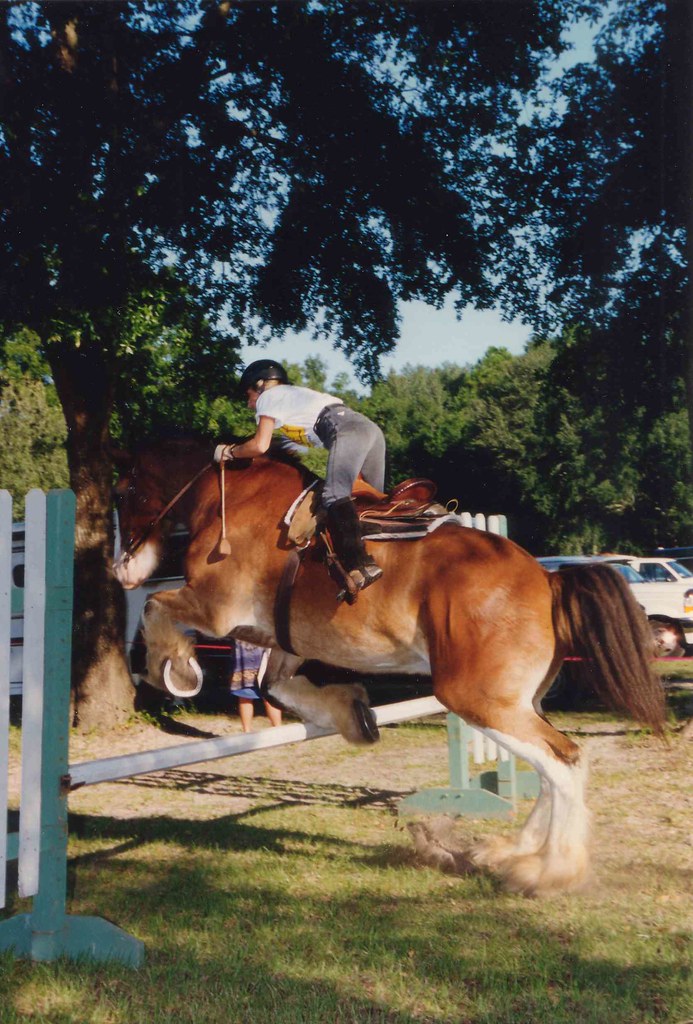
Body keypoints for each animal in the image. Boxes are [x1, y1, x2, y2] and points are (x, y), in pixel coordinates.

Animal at [112, 434, 665, 896]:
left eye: (122, 492)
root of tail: (548, 579)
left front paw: (175, 670)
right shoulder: (280, 636)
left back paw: (547, 872)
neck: (231, 498)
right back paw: (512, 853)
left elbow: (158, 609)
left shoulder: (215, 609)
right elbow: (277, 685)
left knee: (563, 762)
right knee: (551, 768)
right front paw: (352, 714)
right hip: (519, 700)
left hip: (477, 698)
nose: (123, 571)